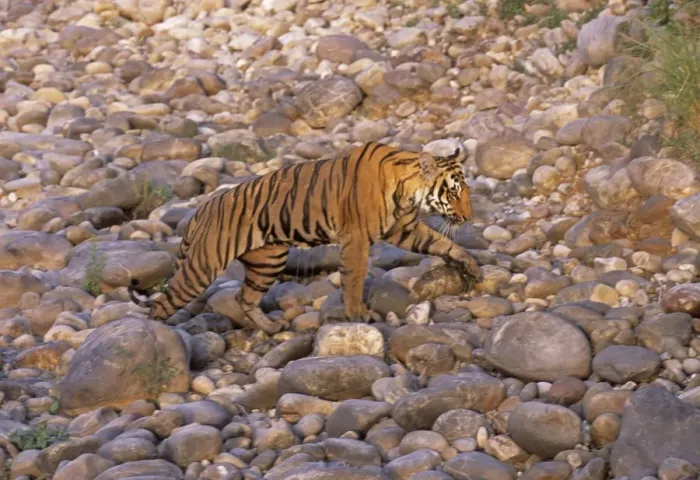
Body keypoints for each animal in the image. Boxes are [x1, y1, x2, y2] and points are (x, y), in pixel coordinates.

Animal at [130, 141, 482, 334]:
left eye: (465, 191)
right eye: (454, 193)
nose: (468, 217)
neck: (407, 191)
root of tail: (200, 211)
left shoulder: (404, 228)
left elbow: (444, 243)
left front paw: (472, 267)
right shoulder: (356, 239)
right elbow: (354, 279)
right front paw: (358, 315)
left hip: (269, 259)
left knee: (245, 297)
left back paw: (272, 327)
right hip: (203, 267)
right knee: (162, 303)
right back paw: (158, 337)